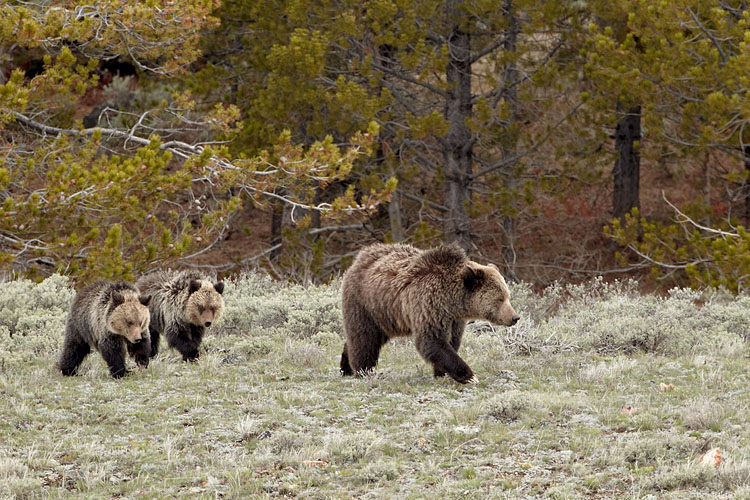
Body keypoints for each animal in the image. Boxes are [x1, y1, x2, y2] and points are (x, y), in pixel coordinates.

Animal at [339, 242, 520, 384]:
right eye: (500, 298)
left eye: (507, 295)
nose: (515, 317)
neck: (452, 301)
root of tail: (359, 258)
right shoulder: (429, 305)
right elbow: (432, 340)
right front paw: (469, 376)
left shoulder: (454, 319)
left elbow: (452, 341)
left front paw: (441, 372)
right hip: (366, 304)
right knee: (364, 337)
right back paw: (363, 370)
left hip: (386, 316)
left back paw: (346, 367)